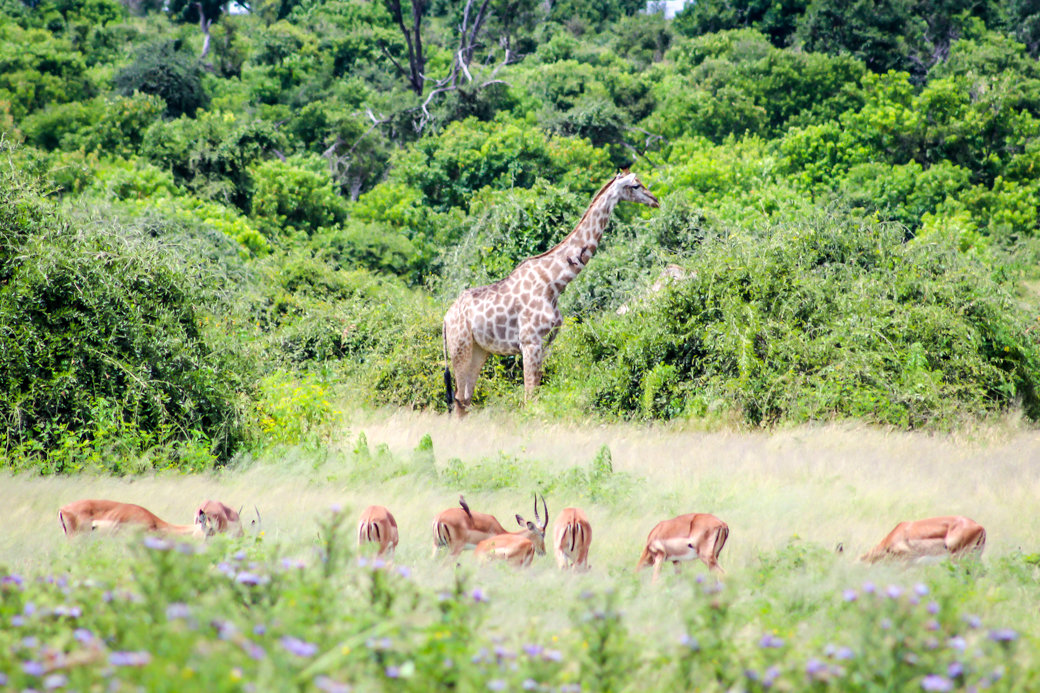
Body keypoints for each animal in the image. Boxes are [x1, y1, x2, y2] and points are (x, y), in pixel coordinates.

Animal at [445, 169, 657, 412]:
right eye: (635, 186)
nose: (655, 200)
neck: (553, 284)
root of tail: (445, 318)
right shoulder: (529, 342)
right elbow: (530, 396)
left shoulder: (546, 342)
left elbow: (536, 393)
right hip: (460, 347)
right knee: (459, 398)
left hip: (479, 349)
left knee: (465, 399)